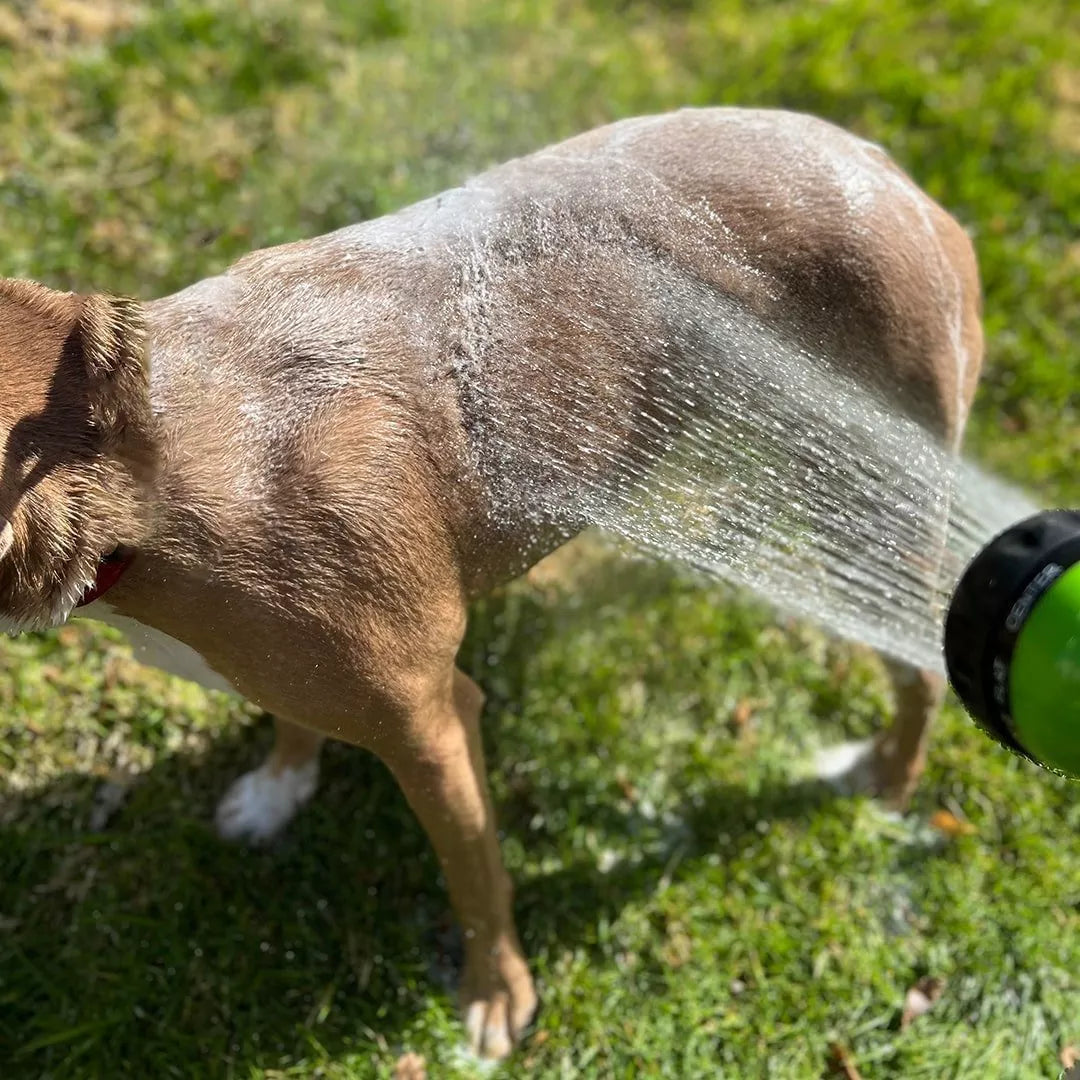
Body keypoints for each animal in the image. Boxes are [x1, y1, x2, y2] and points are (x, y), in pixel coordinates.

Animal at [0, 107, 980, 1054]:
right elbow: (290, 720)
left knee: (922, 666)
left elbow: (475, 876)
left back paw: (886, 785)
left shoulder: (432, 725)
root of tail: (901, 183)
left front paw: (497, 995)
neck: (151, 484)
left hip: (869, 503)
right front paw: (279, 788)